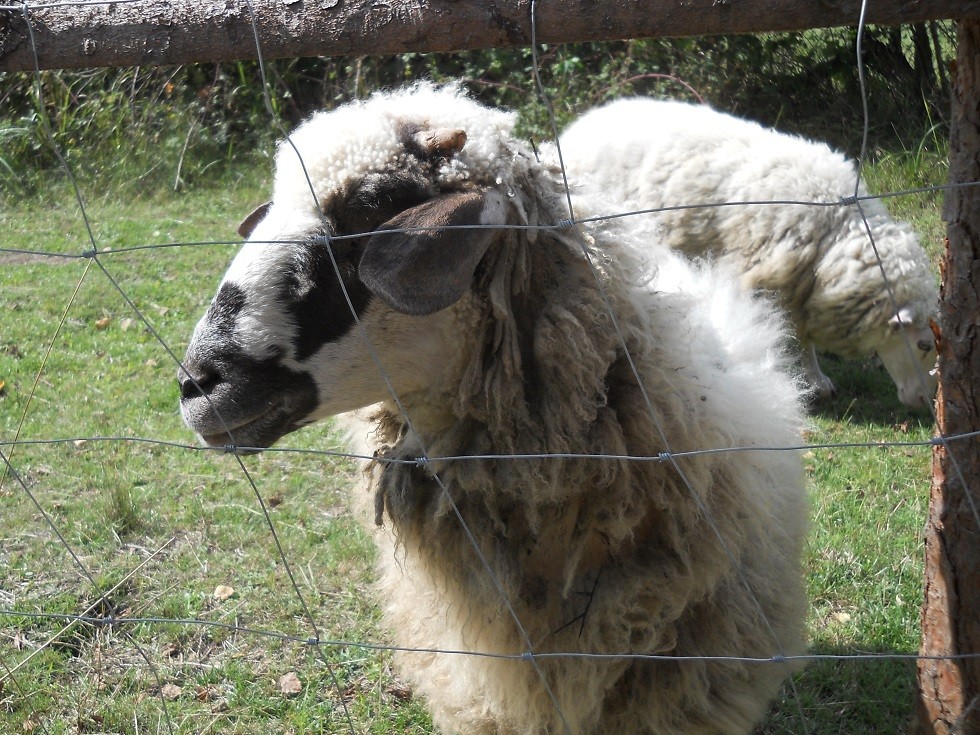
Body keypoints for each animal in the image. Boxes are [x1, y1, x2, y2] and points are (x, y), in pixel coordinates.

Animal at [556, 96, 936, 408]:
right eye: (924, 345)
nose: (924, 402)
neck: (837, 227)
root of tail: (578, 126)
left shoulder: (802, 286)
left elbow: (804, 337)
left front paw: (816, 380)